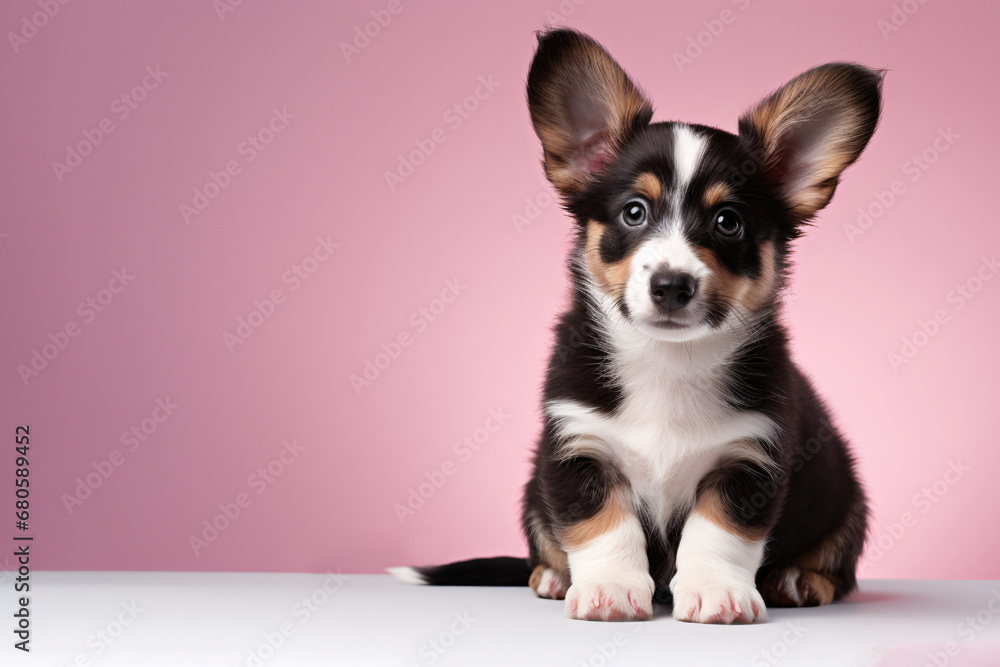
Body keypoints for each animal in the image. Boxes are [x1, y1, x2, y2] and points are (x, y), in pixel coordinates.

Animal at [392, 28, 884, 624]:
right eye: (634, 212)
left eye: (728, 222)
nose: (672, 285)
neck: (667, 359)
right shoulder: (576, 447)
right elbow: (603, 526)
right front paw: (609, 589)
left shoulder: (751, 457)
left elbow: (718, 533)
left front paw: (716, 592)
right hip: (533, 493)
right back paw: (553, 575)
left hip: (848, 501)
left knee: (836, 563)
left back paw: (798, 580)